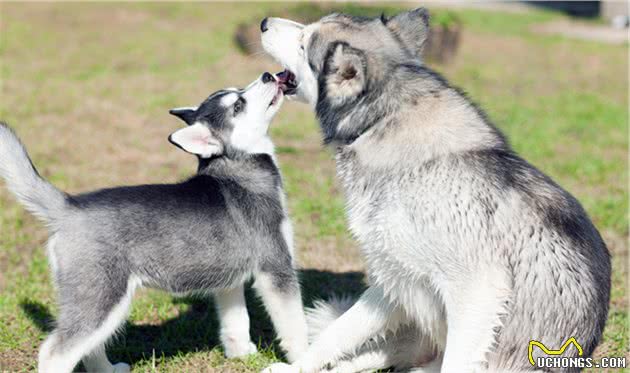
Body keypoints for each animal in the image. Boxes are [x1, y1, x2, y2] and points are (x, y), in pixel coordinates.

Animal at [0, 73, 310, 372]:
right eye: (238, 105)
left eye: (238, 89)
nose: (269, 74)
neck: (238, 167)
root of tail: (69, 206)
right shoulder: (276, 267)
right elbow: (295, 327)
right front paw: (304, 362)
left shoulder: (228, 277)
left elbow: (236, 321)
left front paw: (241, 355)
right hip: (101, 295)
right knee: (55, 353)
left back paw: (108, 369)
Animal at [260, 8, 612, 372]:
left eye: (304, 43)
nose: (264, 22)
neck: (387, 118)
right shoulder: (394, 281)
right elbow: (337, 334)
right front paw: (298, 366)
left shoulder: (477, 291)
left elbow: (455, 360)